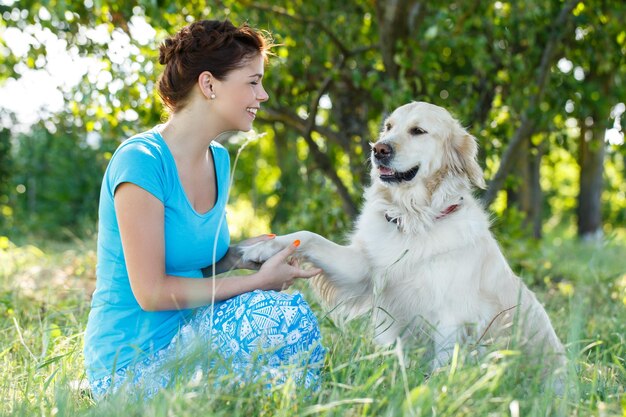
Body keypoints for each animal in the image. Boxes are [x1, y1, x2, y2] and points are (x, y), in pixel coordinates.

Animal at [241, 100, 564, 374]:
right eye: (388, 127)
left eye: (418, 131)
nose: (378, 149)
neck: (413, 219)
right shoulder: (363, 270)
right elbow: (308, 237)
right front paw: (264, 247)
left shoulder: (451, 319)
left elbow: (441, 370)